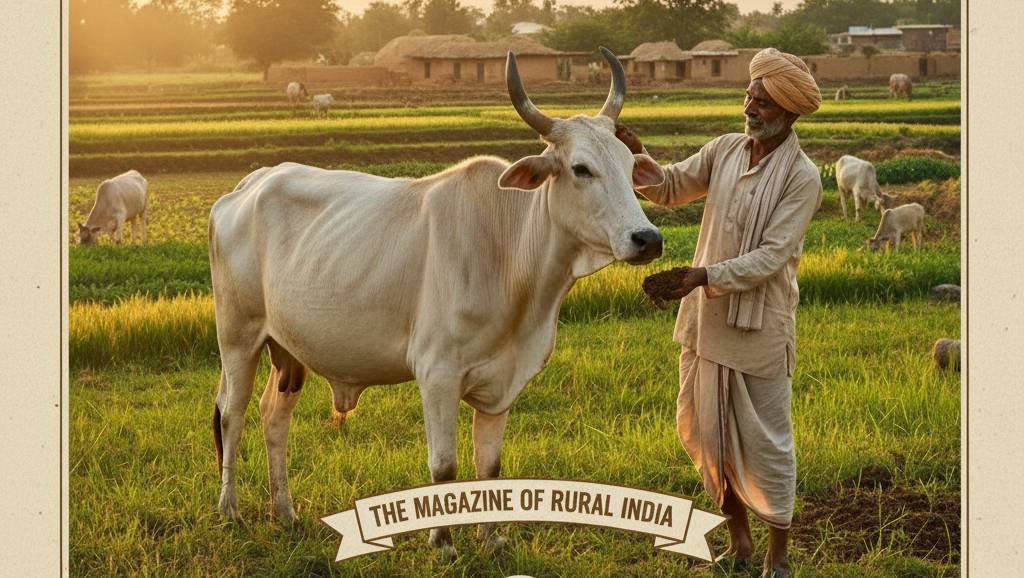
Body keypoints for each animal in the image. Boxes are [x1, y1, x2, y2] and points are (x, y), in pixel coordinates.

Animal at [209, 47, 665, 557]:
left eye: (629, 165)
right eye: (581, 168)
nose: (647, 238)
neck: (509, 254)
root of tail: (248, 185)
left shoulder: (501, 384)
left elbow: (490, 467)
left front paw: (492, 538)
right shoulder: (437, 375)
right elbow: (443, 465)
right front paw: (443, 542)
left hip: (287, 350)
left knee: (274, 417)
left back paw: (284, 512)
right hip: (238, 338)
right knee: (232, 413)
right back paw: (230, 510)